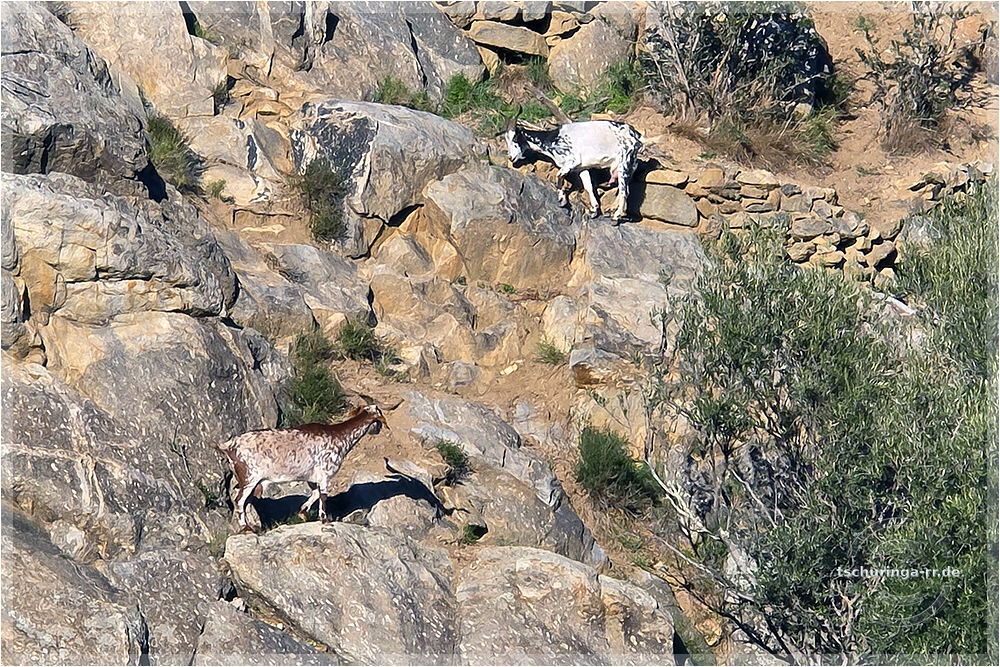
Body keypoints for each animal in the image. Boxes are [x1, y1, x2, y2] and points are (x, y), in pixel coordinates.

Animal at [216, 404, 389, 532]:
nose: (379, 429)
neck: (340, 436)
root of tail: (229, 446)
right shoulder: (325, 474)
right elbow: (323, 496)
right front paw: (325, 520)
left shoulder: (311, 477)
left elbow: (315, 493)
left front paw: (303, 513)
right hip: (250, 478)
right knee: (240, 501)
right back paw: (246, 528)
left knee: (245, 501)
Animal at [504, 118, 643, 223]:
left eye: (515, 138)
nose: (511, 157)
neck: (553, 139)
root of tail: (636, 135)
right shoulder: (582, 168)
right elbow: (588, 186)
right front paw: (594, 210)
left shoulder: (571, 161)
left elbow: (559, 176)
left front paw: (562, 200)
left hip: (624, 161)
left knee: (625, 191)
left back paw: (616, 217)